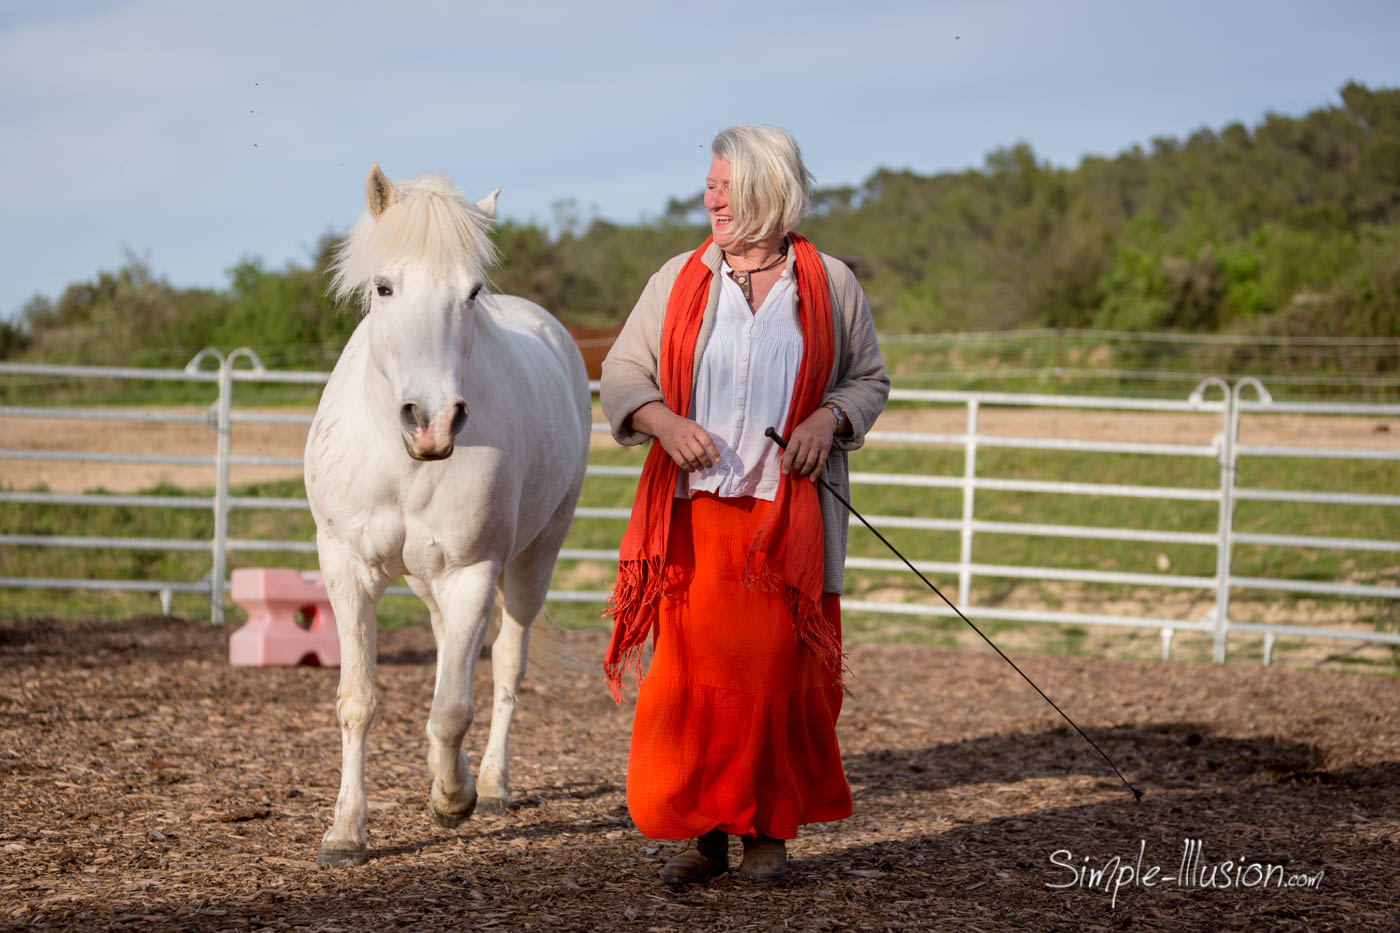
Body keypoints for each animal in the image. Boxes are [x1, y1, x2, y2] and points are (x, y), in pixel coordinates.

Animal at [305, 165, 591, 867]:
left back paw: (489, 785)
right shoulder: (347, 570)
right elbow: (358, 701)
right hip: (427, 580)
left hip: (533, 559)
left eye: (472, 291)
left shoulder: (472, 573)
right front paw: (346, 831)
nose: (432, 421)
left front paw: (453, 797)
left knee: (506, 665)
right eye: (384, 287)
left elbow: (453, 707)